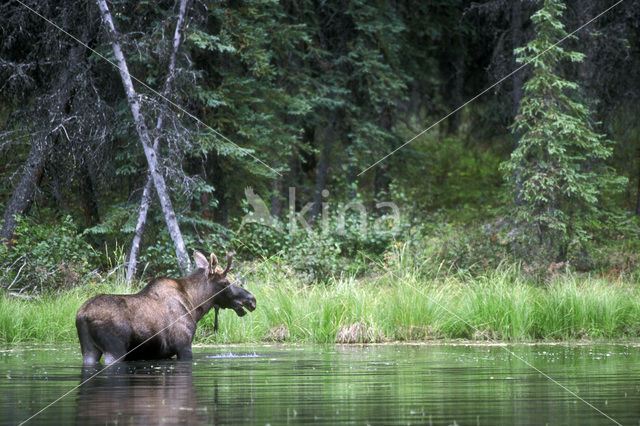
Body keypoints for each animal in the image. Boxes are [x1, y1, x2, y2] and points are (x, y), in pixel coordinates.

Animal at [75, 251, 255, 364]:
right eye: (225, 282)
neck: (195, 306)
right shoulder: (183, 345)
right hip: (115, 349)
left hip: (88, 349)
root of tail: (82, 316)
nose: (251, 299)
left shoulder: (162, 354)